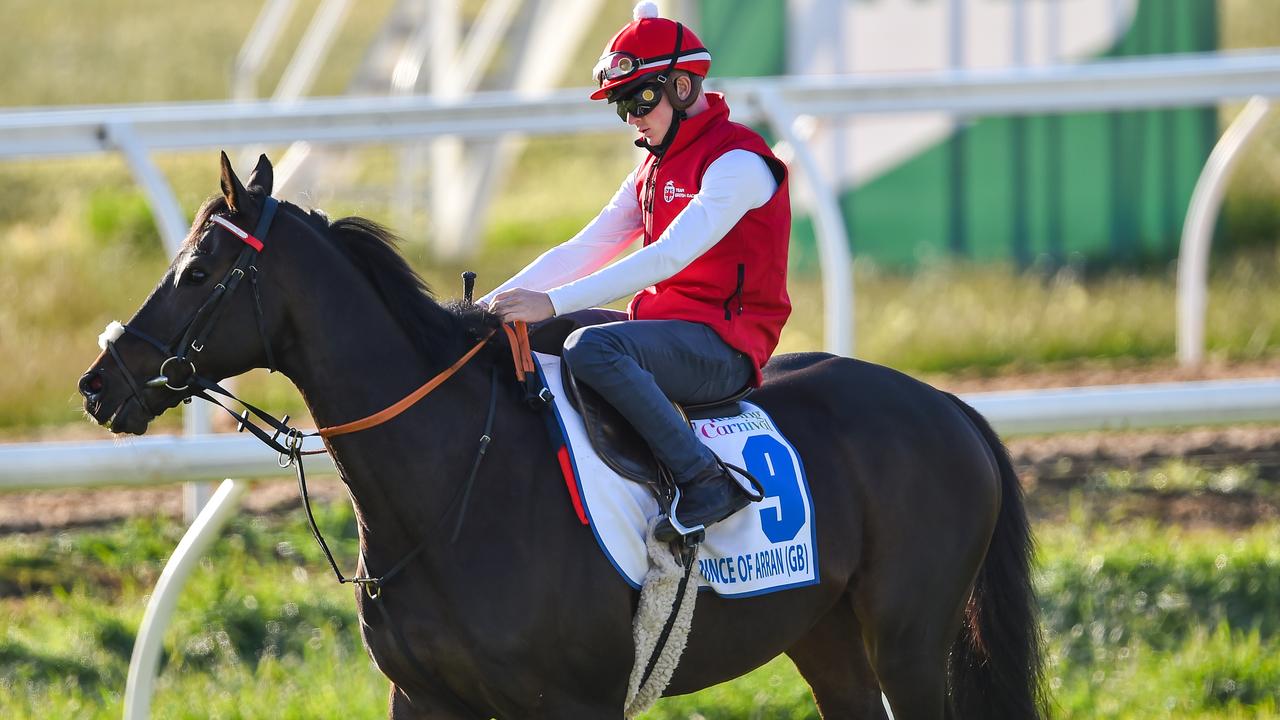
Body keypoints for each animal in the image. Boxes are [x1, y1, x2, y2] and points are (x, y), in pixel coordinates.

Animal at [74, 154, 1044, 712]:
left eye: (197, 272)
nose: (97, 383)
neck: (454, 492)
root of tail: (954, 409)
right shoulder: (424, 698)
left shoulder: (569, 702)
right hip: (826, 636)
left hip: (911, 638)